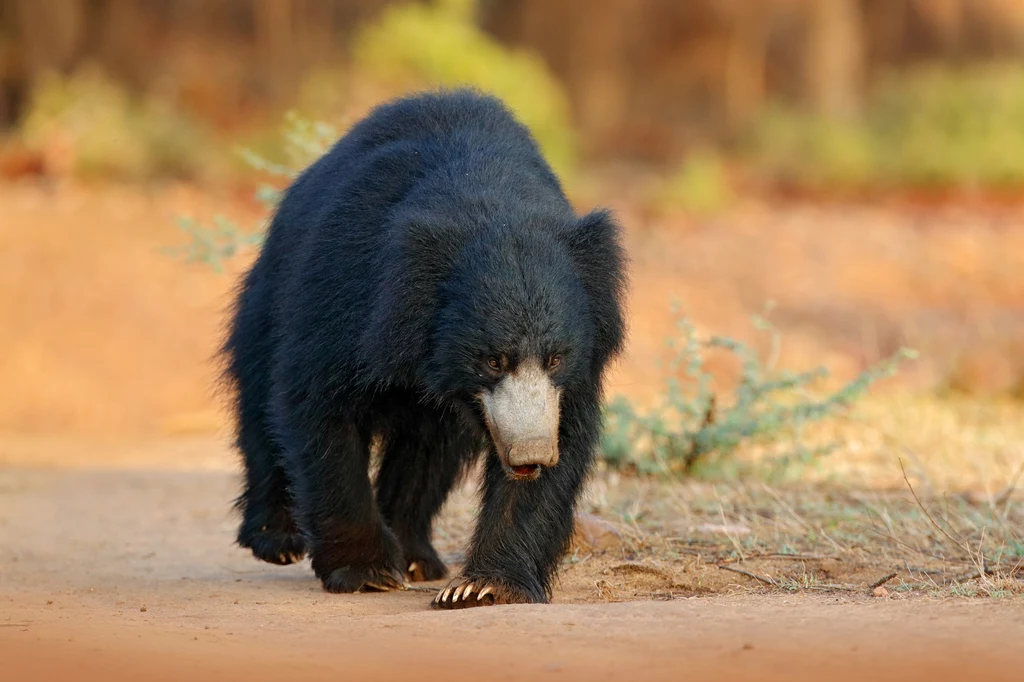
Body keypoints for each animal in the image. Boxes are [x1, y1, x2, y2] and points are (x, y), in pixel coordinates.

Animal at [224, 86, 622, 606]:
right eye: (492, 360)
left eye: (556, 357)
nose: (530, 456)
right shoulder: (348, 299)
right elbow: (319, 407)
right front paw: (367, 571)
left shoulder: (576, 363)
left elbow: (566, 433)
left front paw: (482, 586)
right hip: (267, 299)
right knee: (259, 403)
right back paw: (278, 538)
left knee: (428, 455)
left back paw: (415, 556)